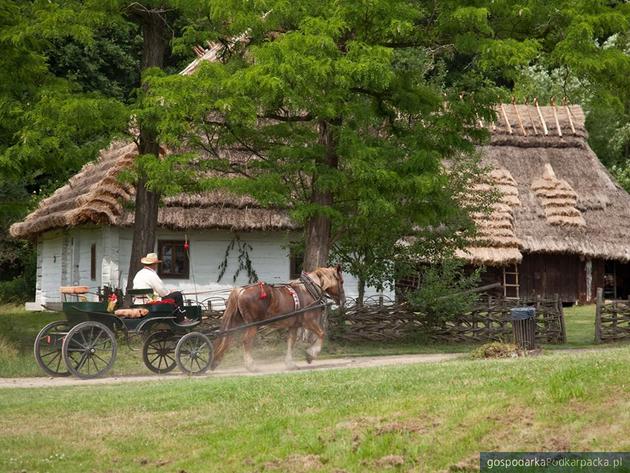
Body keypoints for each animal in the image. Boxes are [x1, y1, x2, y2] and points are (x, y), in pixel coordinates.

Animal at [212, 266, 346, 368]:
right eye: (341, 282)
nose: (343, 300)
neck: (308, 290)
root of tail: (241, 290)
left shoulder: (294, 326)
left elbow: (291, 342)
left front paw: (290, 364)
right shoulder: (309, 322)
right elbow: (322, 333)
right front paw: (310, 355)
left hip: (236, 322)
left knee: (227, 339)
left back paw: (215, 361)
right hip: (253, 325)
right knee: (246, 341)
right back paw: (250, 365)